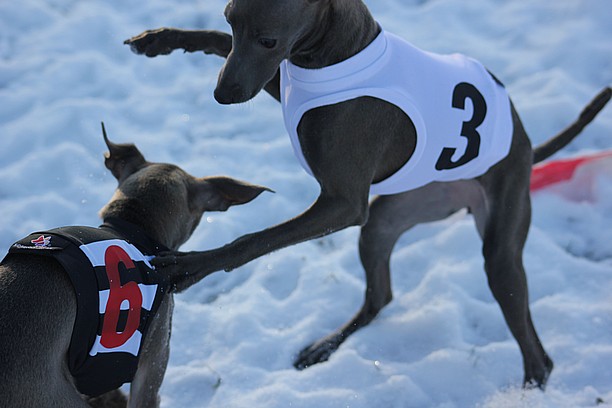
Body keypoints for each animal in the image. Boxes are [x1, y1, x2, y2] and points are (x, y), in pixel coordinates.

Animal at [125, 0, 612, 388]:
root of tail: (527, 147)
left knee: (537, 352)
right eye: (229, 19)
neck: (331, 55)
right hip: (385, 219)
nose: (222, 94)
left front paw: (192, 266)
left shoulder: (342, 203)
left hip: (499, 245)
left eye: (267, 39)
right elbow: (213, 41)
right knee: (381, 298)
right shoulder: (284, 87)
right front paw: (162, 40)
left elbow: (252, 241)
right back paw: (324, 346)